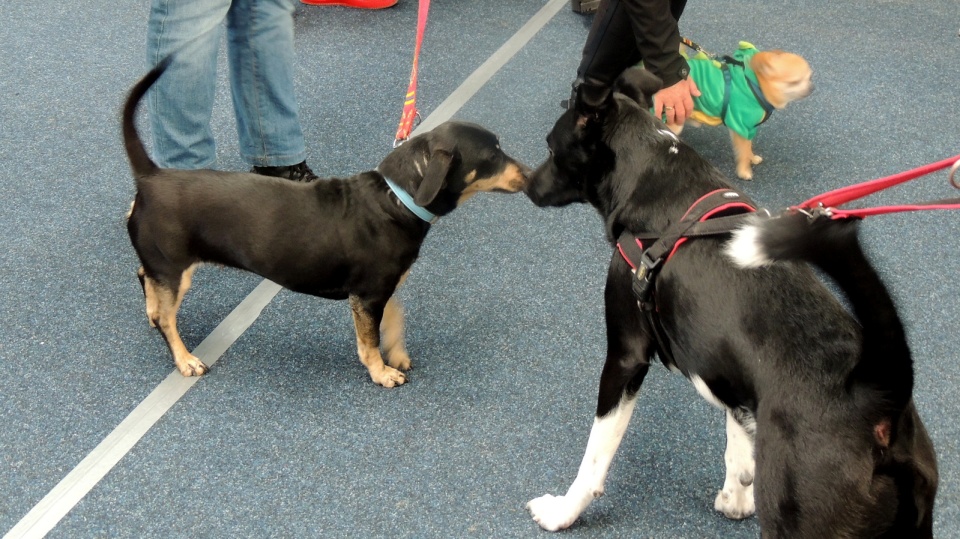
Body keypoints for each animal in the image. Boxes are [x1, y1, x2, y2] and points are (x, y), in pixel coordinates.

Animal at [124, 60, 528, 388]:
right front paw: (381, 372)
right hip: (174, 268)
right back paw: (186, 359)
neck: (396, 197)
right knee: (167, 318)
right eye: (492, 155)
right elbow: (368, 340)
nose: (529, 174)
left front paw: (396, 354)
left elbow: (393, 318)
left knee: (148, 285)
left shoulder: (381, 289)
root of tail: (151, 177)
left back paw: (153, 317)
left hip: (166, 269)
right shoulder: (368, 294)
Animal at [524, 68, 936, 539]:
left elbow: (595, 454)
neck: (651, 176)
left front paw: (563, 511)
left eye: (550, 147)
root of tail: (879, 394)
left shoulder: (626, 356)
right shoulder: (726, 364)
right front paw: (737, 496)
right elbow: (737, 435)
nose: (526, 184)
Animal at [668, 41, 816, 181]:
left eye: (810, 77)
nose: (812, 88)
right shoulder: (740, 127)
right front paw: (744, 171)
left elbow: (748, 147)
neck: (756, 85)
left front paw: (752, 158)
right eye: (794, 82)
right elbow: (743, 152)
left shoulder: (749, 128)